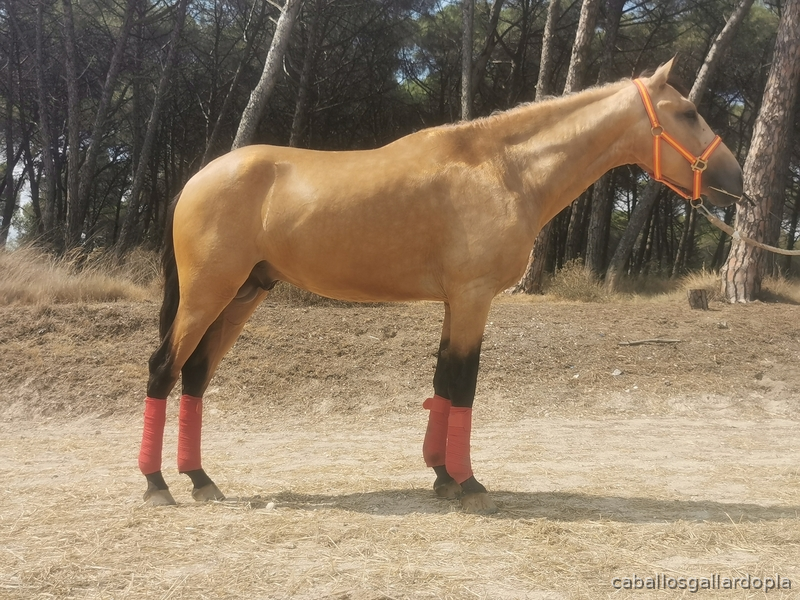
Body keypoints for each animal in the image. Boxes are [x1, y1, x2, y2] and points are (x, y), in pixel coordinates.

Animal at [138, 59, 743, 513]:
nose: (734, 181)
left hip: (242, 295)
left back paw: (200, 480)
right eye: (687, 112)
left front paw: (441, 477)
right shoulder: (474, 297)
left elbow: (443, 383)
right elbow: (464, 385)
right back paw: (157, 485)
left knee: (195, 374)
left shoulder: (456, 301)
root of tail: (199, 177)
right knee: (164, 367)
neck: (502, 169)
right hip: (208, 294)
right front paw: (468, 484)